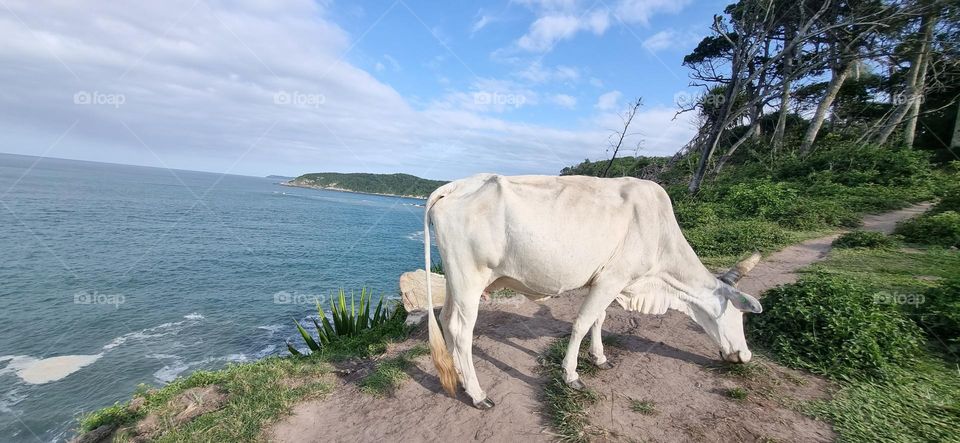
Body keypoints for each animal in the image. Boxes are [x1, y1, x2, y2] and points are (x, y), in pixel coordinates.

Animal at [422, 174, 763, 409]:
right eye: (738, 316)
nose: (745, 355)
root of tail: (454, 186)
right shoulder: (614, 278)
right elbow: (582, 323)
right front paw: (572, 375)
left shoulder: (607, 281)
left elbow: (599, 319)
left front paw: (599, 358)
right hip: (470, 280)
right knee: (461, 331)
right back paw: (477, 393)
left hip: (455, 281)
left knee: (446, 319)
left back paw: (461, 378)